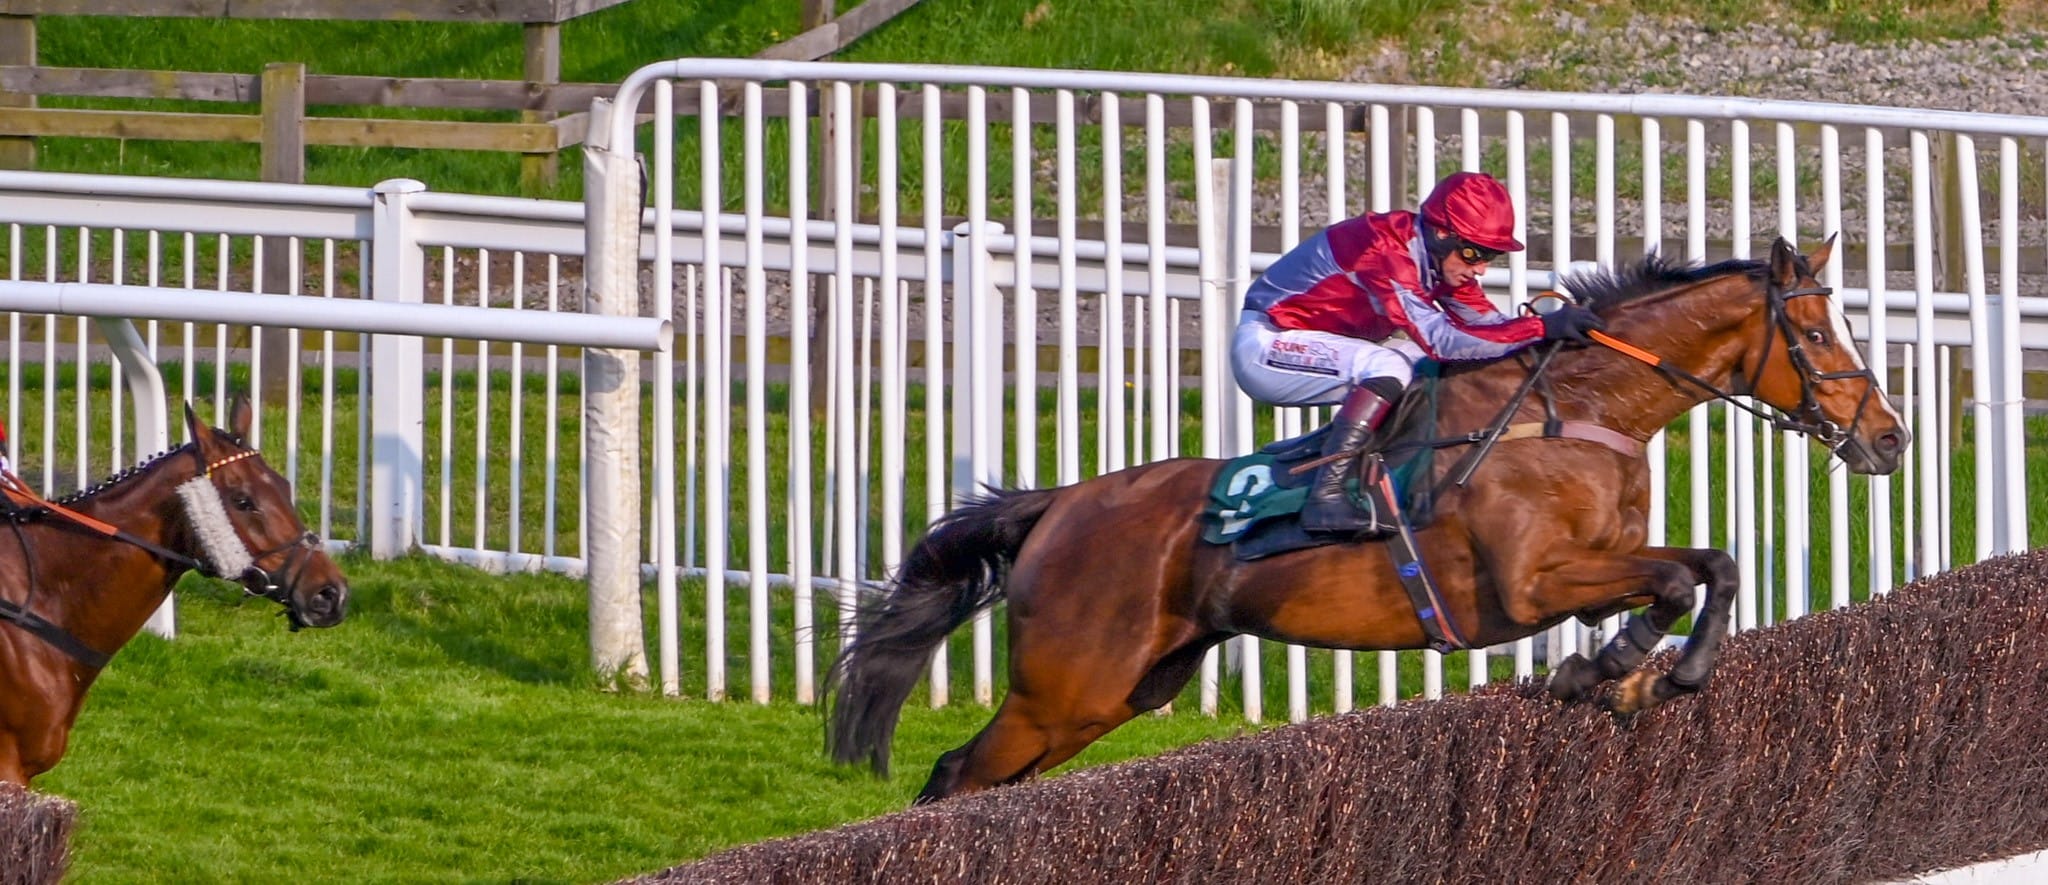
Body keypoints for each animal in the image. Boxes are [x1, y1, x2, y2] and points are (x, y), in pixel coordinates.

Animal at [826, 235, 1911, 804]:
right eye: (1816, 333)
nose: (1890, 438)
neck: (1576, 411)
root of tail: (1059, 504)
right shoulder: (1526, 585)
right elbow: (1681, 576)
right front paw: (1628, 668)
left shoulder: (1602, 561)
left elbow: (1708, 565)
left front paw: (1634, 670)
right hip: (1061, 690)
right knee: (955, 776)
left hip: (1115, 694)